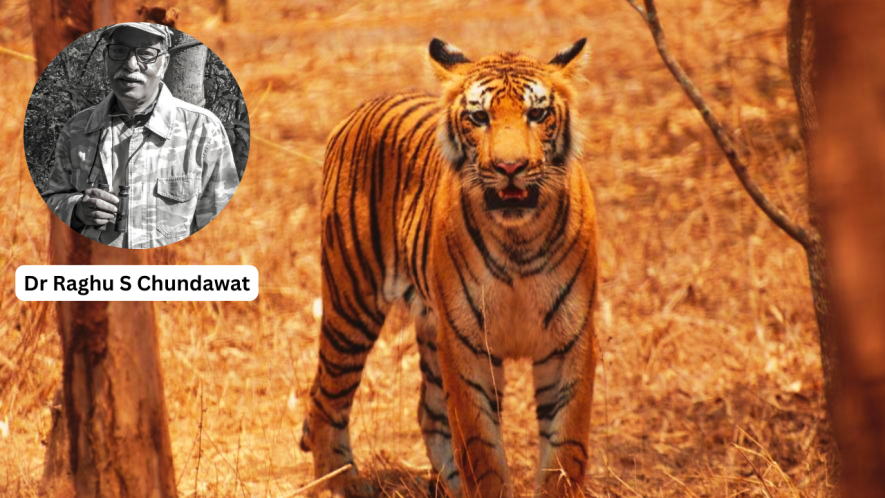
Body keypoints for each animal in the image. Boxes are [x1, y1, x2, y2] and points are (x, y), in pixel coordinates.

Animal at [300, 37, 599, 498]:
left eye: (537, 114)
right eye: (479, 117)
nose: (510, 168)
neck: (519, 240)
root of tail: (360, 109)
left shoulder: (571, 340)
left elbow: (565, 449)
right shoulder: (468, 343)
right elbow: (481, 448)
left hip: (426, 324)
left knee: (428, 411)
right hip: (352, 302)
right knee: (326, 397)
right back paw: (341, 483)